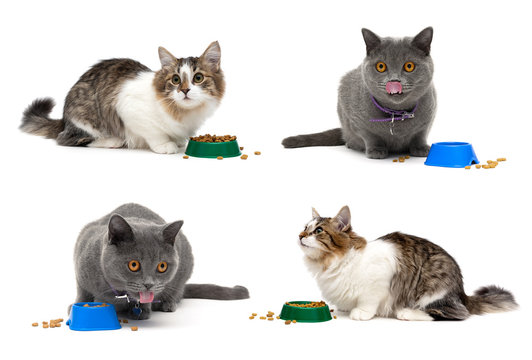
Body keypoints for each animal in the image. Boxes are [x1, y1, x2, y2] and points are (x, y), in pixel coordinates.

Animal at [71, 204, 250, 320]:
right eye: (133, 265)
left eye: (162, 266)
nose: (149, 284)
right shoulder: (82, 257)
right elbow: (82, 292)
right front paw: (74, 307)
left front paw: (142, 311)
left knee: (178, 291)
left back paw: (168, 303)